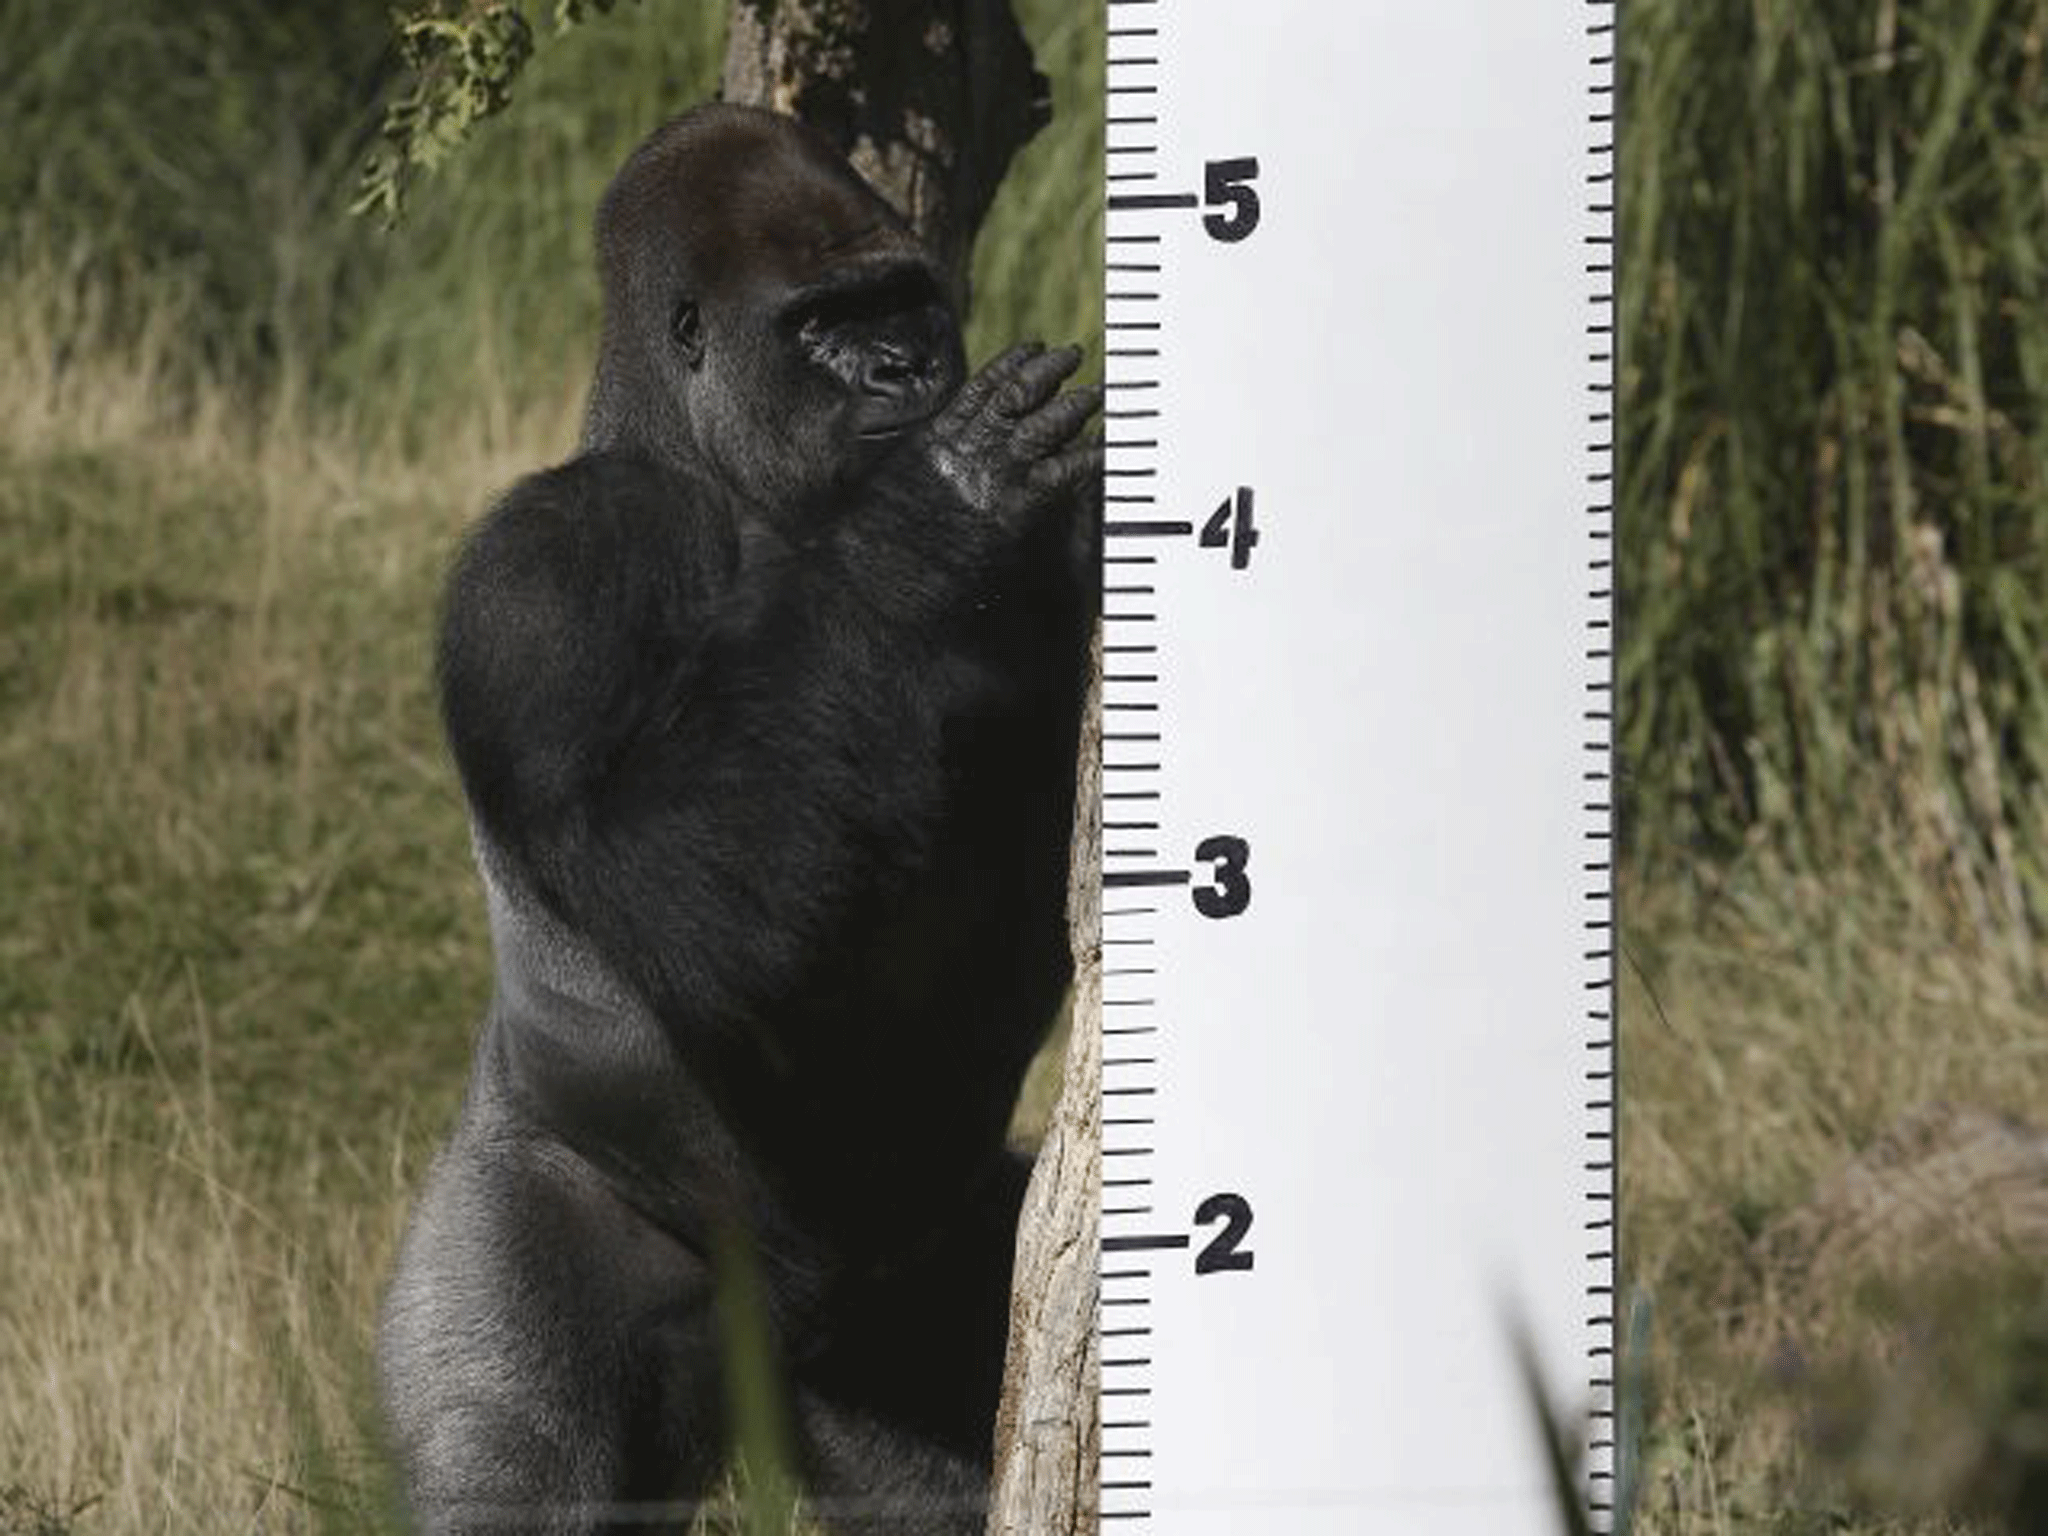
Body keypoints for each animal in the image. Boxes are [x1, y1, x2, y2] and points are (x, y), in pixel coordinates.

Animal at [374, 102, 1097, 1531]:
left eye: (901, 298)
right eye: (820, 323)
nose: (900, 369)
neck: (716, 472)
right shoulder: (549, 566)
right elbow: (670, 877)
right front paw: (934, 517)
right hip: (528, 1215)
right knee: (511, 1454)